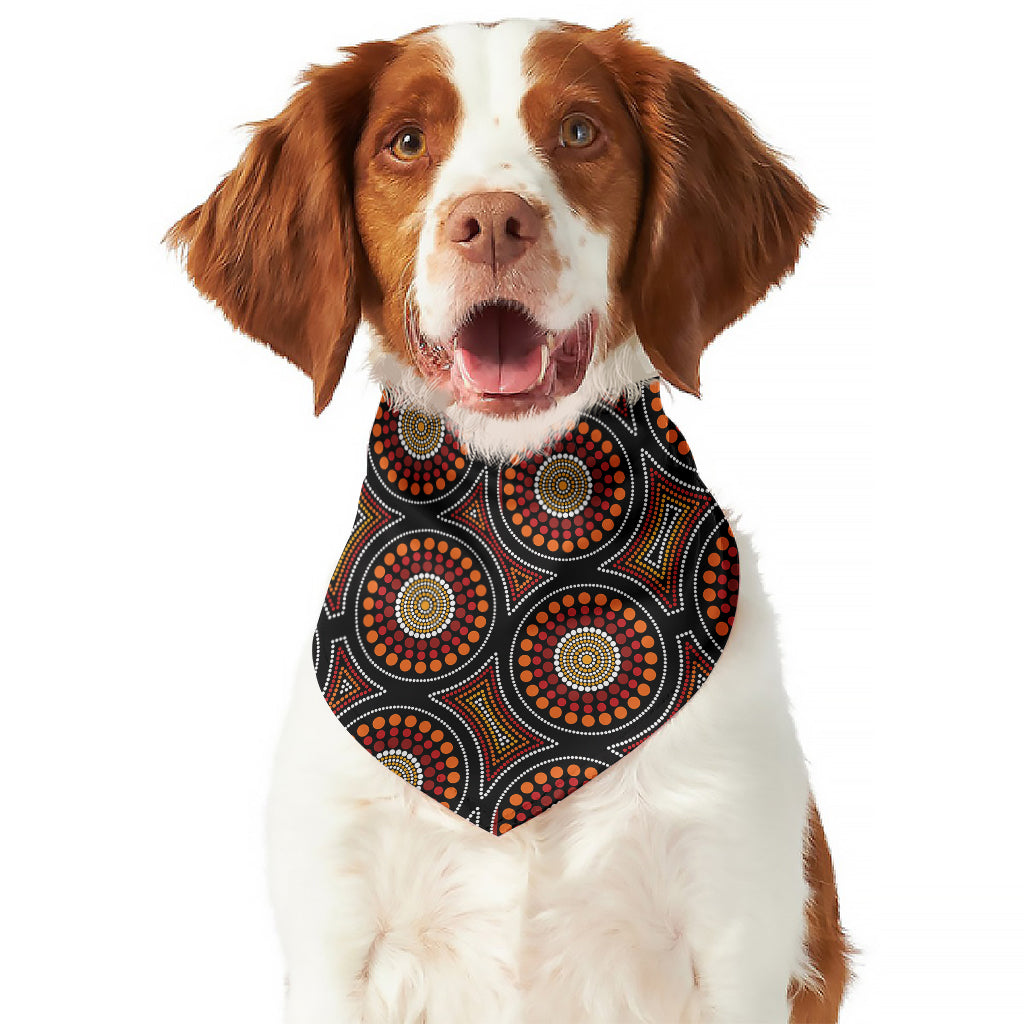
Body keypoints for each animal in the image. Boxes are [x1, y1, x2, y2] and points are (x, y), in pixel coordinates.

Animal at [167, 16, 851, 1024]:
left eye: (579, 131)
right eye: (406, 142)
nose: (492, 221)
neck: (526, 510)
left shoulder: (737, 922)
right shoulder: (335, 929)